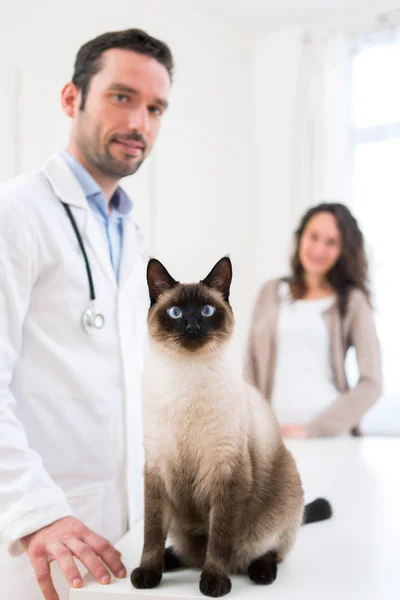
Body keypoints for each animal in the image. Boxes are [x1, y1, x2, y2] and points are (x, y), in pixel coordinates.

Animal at [131, 256, 332, 596]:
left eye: (206, 311)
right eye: (176, 313)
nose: (192, 327)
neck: (186, 378)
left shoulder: (227, 473)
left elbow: (220, 538)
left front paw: (214, 582)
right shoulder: (156, 469)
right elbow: (152, 533)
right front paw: (147, 573)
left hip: (285, 496)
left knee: (268, 550)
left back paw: (259, 572)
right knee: (189, 552)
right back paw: (169, 561)